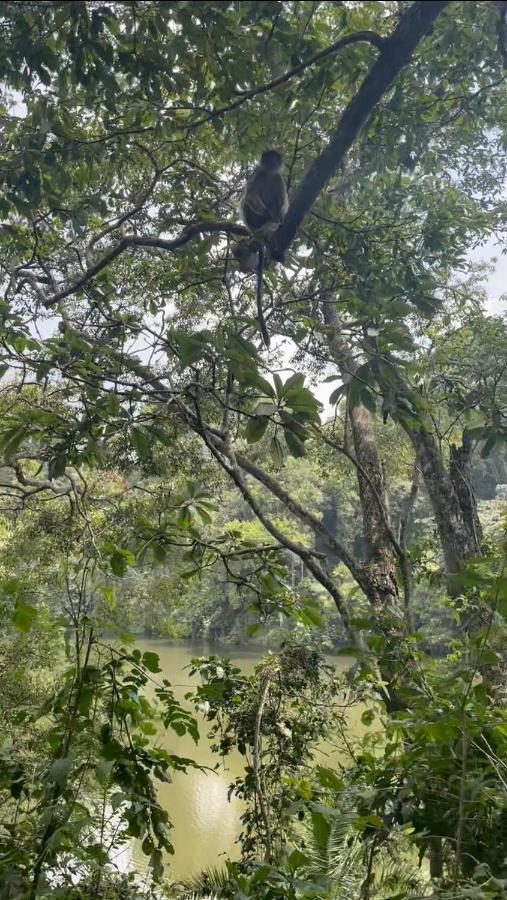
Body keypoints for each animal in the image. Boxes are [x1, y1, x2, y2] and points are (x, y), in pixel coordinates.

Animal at [235, 149, 290, 346]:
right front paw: (269, 214)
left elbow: (284, 202)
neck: (269, 174)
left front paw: (279, 215)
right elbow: (249, 196)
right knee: (247, 202)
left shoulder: (278, 178)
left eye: (276, 158)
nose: (273, 162)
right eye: (269, 157)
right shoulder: (257, 174)